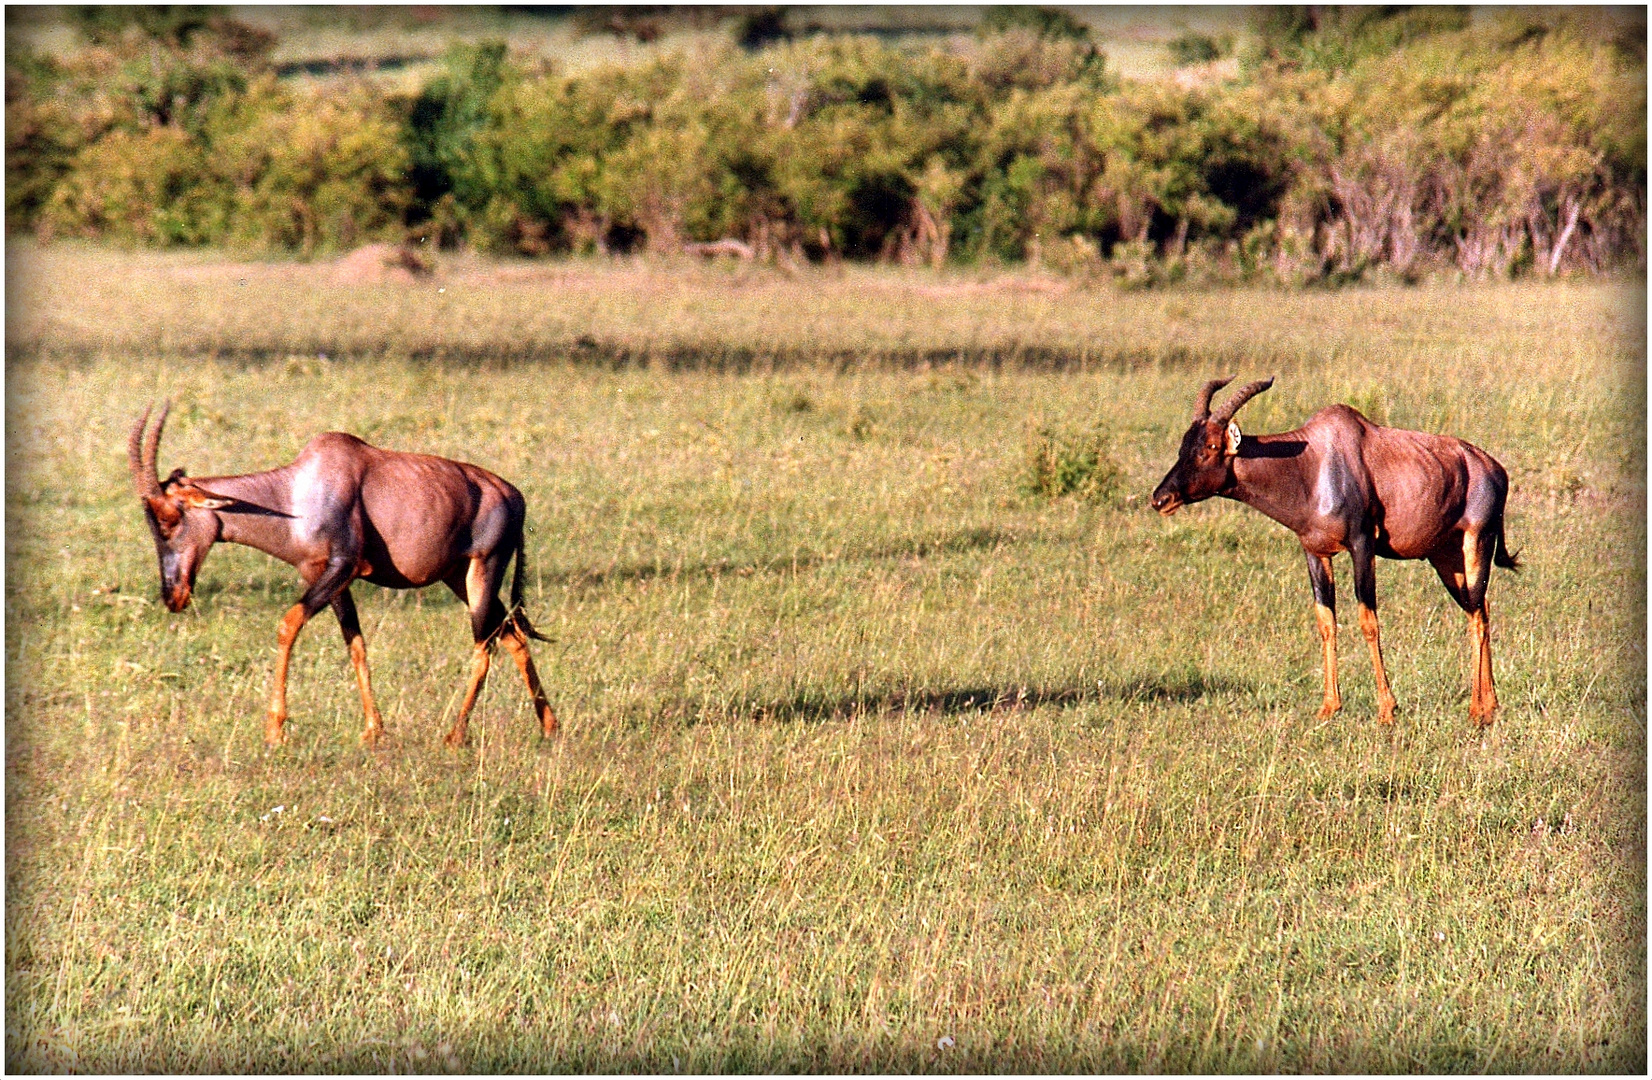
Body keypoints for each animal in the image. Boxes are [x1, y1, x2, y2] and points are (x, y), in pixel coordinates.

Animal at [123, 401, 561, 749]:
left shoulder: (344, 567)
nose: (173, 596)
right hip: (458, 577)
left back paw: (454, 735)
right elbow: (356, 645)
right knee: (513, 636)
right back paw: (549, 727)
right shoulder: (328, 578)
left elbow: (288, 625)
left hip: (485, 568)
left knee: (484, 647)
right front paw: (373, 730)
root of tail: (514, 496)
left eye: (169, 518)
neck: (296, 492)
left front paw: (274, 731)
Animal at [1156, 378, 1513, 726]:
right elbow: (1326, 622)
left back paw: (1479, 711)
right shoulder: (1315, 552)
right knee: (1479, 608)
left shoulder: (1362, 545)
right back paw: (1489, 704)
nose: (1161, 499)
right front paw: (1329, 707)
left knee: (1477, 615)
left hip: (1477, 541)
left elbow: (1368, 621)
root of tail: (1494, 469)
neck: (1313, 464)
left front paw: (1387, 710)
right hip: (1446, 558)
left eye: (1211, 447)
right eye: (1184, 445)